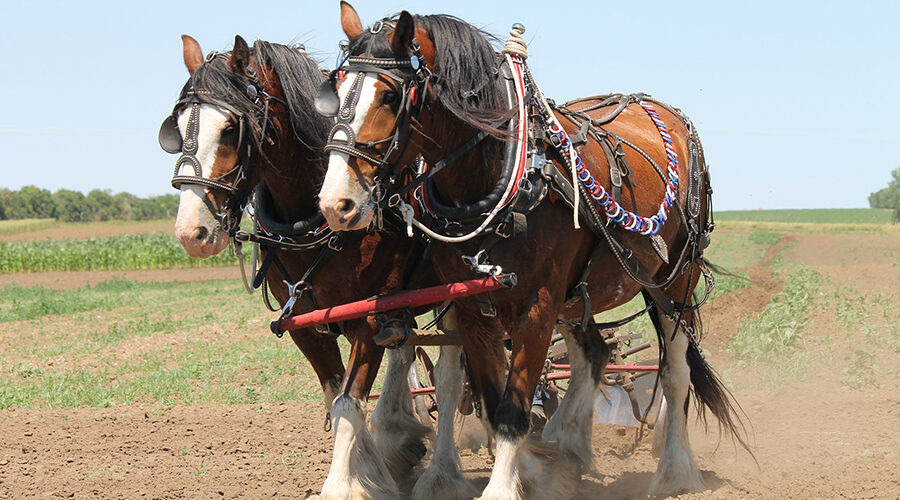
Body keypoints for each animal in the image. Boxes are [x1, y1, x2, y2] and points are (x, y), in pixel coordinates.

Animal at [159, 36, 474, 500]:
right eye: (178, 130)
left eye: (231, 128)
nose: (190, 232)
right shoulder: (305, 326)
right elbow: (335, 397)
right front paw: (373, 467)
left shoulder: (369, 316)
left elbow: (348, 403)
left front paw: (345, 483)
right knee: (406, 353)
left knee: (450, 378)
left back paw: (441, 474)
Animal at [320, 4, 748, 500]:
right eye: (336, 88)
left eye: (390, 96)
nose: (335, 203)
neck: (501, 176)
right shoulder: (474, 310)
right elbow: (492, 403)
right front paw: (539, 470)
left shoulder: (537, 306)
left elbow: (512, 411)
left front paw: (506, 486)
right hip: (580, 295)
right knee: (593, 355)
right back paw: (568, 447)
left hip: (675, 279)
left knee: (675, 371)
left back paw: (674, 471)